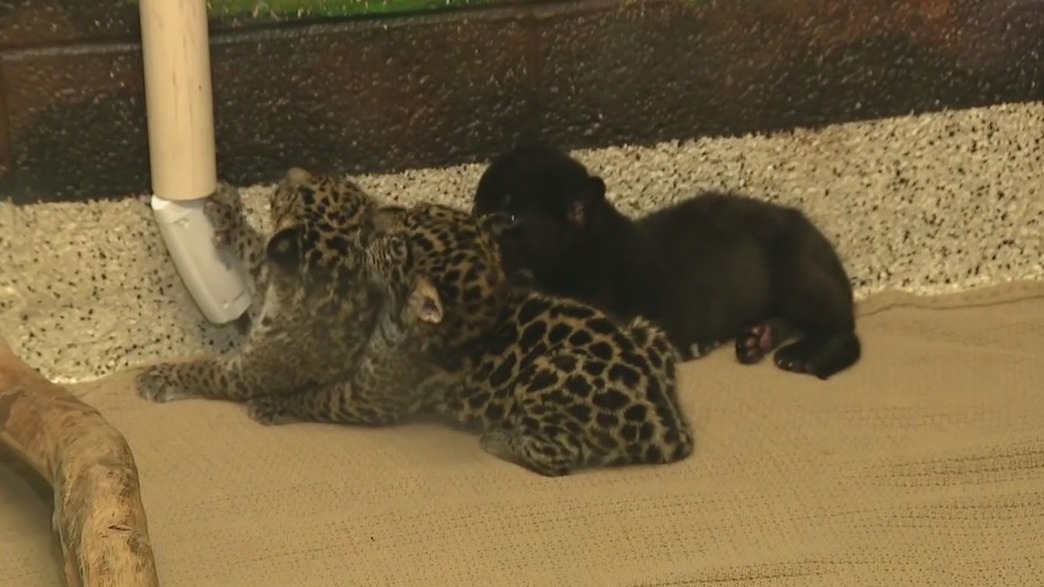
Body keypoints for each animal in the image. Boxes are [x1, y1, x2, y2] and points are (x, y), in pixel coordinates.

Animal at [135, 167, 397, 415]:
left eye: (290, 197)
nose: (290, 170)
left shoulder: (249, 375)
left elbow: (203, 371)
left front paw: (158, 377)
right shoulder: (272, 267)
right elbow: (253, 245)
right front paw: (228, 208)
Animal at [246, 202, 696, 477]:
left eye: (394, 246)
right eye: (412, 212)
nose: (370, 220)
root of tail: (671, 434)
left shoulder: (370, 399)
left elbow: (318, 397)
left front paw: (272, 403)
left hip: (550, 370)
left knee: (560, 456)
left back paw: (501, 438)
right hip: (646, 330)